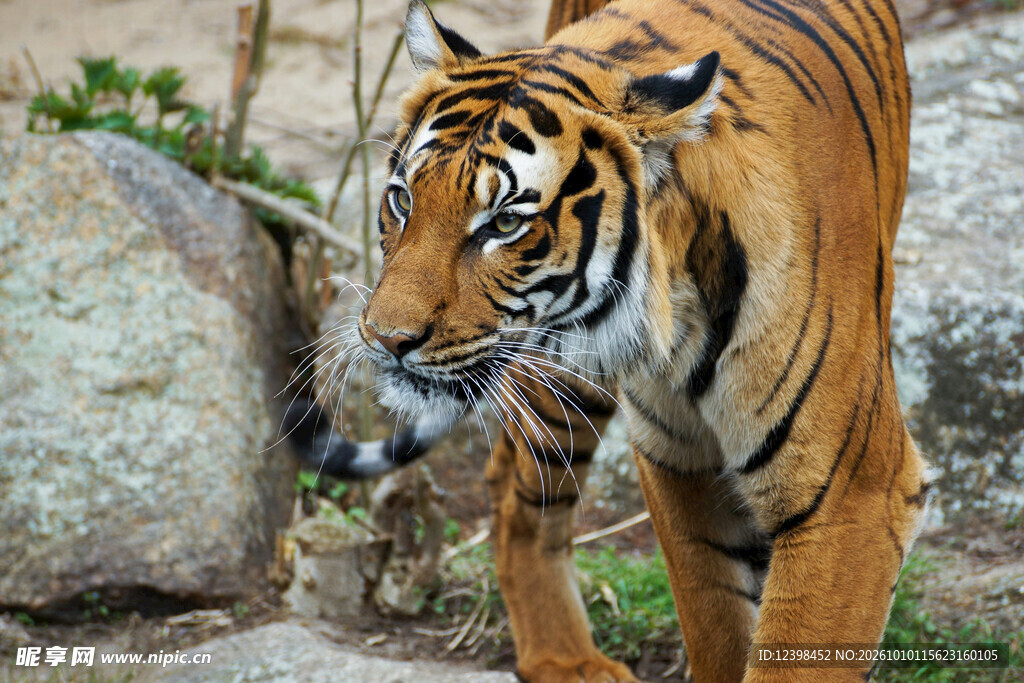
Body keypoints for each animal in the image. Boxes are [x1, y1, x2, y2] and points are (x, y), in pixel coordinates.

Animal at [286, 0, 932, 680]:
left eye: (505, 223)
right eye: (403, 199)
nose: (385, 339)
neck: (684, 324)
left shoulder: (851, 495)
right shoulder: (682, 464)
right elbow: (716, 626)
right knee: (519, 497)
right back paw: (565, 660)